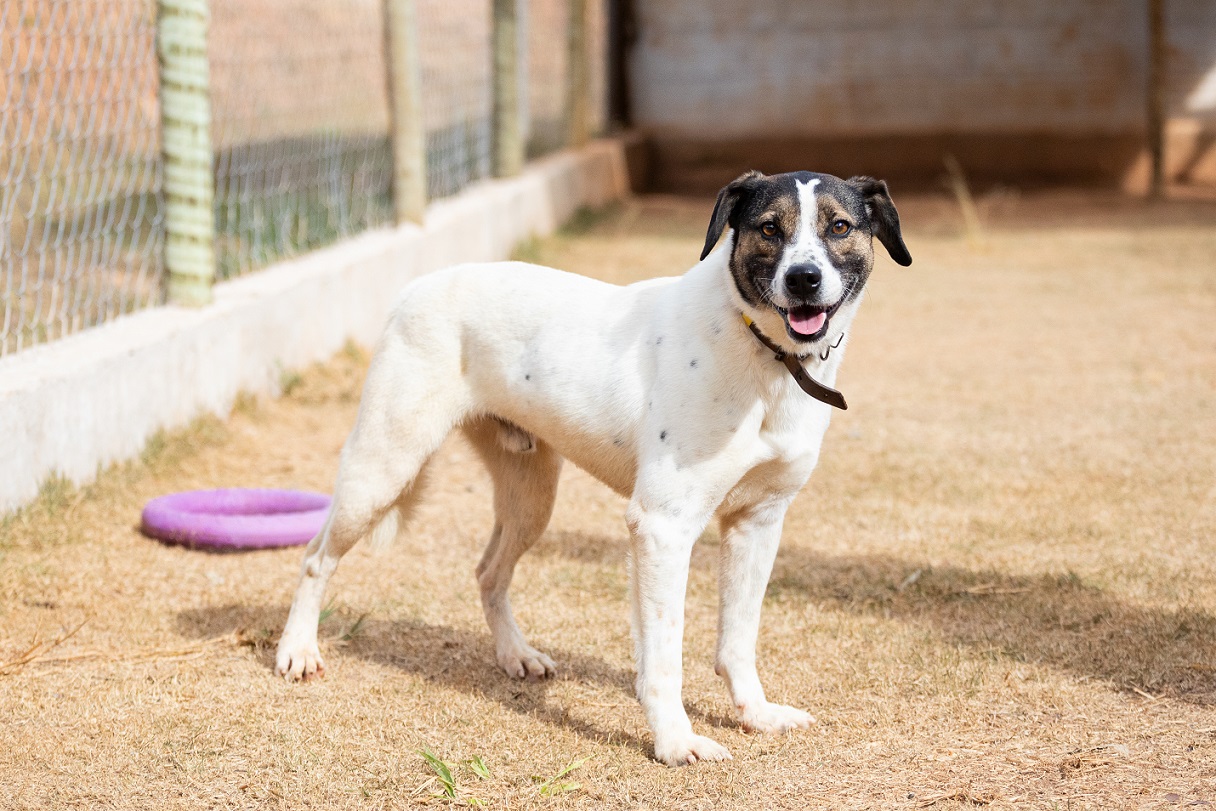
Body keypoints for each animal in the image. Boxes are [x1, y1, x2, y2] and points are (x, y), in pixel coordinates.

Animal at [278, 170, 914, 768]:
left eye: (839, 227)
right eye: (768, 229)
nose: (803, 278)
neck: (763, 350)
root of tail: (419, 284)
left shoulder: (758, 524)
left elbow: (738, 639)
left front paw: (755, 714)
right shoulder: (661, 526)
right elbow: (663, 656)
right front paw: (675, 742)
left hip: (531, 498)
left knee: (488, 572)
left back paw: (515, 655)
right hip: (380, 471)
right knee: (314, 557)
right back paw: (298, 652)